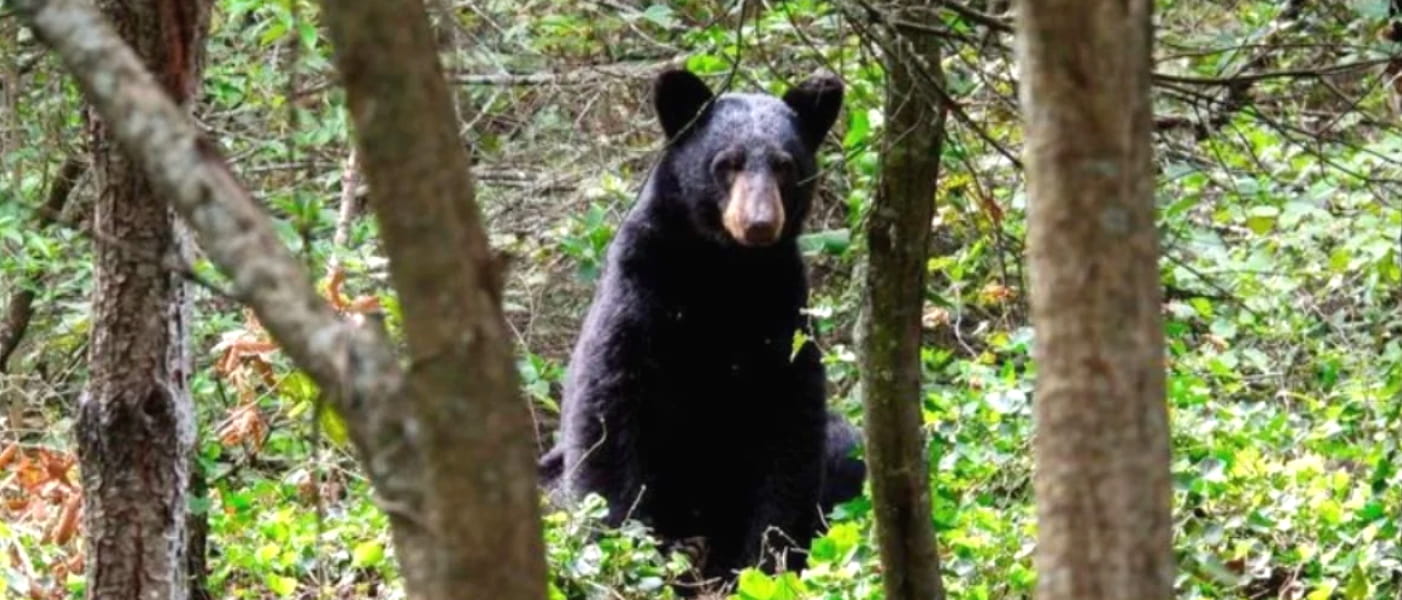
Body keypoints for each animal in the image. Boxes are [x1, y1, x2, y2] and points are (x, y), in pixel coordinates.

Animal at [539, 68, 865, 588]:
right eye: (727, 163)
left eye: (785, 165)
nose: (759, 224)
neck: (721, 269)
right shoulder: (640, 290)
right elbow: (608, 408)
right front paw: (619, 554)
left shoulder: (781, 312)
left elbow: (790, 428)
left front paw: (762, 563)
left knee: (844, 446)